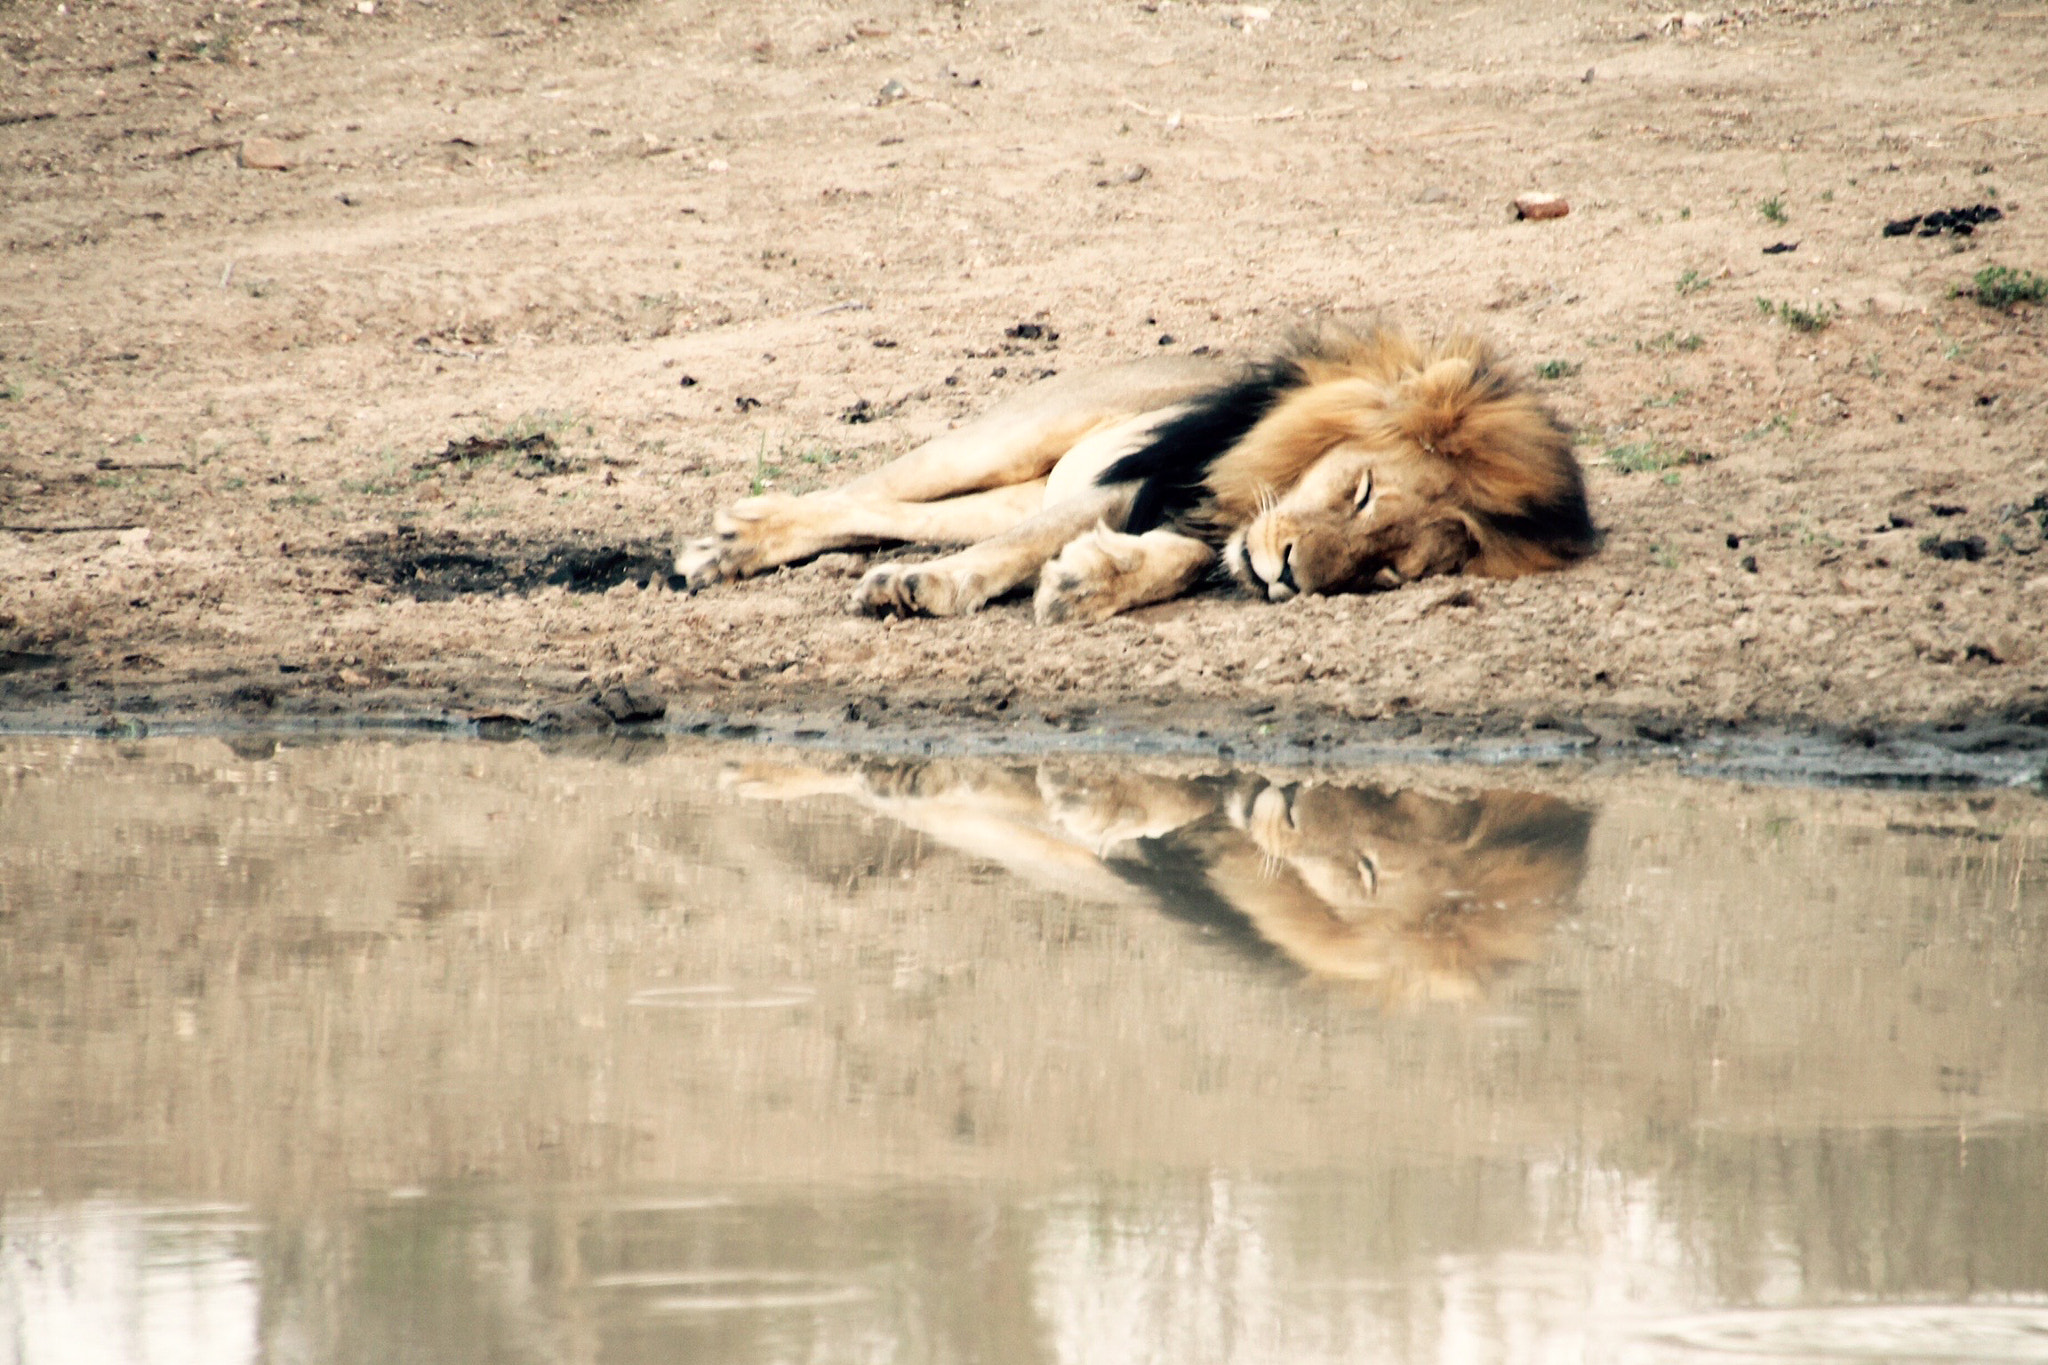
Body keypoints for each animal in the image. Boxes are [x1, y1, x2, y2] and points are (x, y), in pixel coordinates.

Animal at [677, 324, 1596, 622]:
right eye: (1362, 490)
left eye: (1389, 572)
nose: (1289, 575)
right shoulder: (1139, 477)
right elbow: (1020, 549)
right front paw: (925, 589)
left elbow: (1180, 556)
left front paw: (1093, 580)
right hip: (1012, 437)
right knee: (869, 489)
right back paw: (730, 538)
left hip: (1018, 483)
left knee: (899, 515)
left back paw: (735, 546)